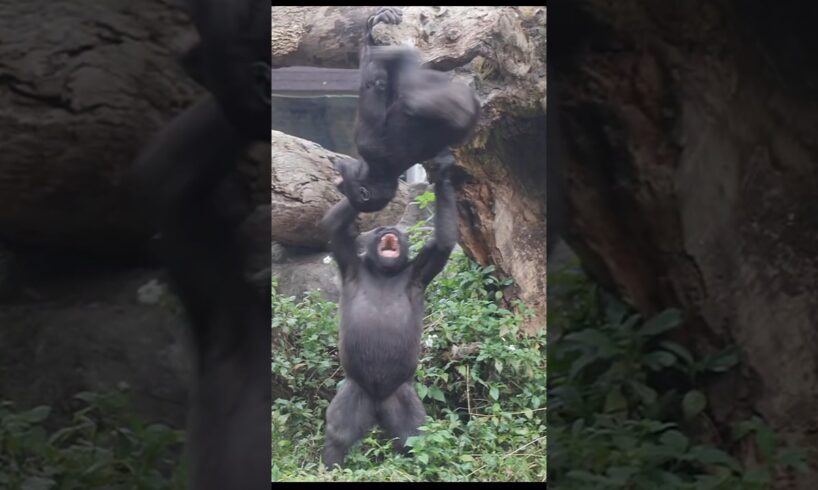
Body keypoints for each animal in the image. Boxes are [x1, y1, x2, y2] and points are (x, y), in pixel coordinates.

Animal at [320, 159, 460, 468]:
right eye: (379, 229)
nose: (388, 229)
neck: (385, 272)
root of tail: (377, 402)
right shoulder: (350, 262)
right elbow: (333, 226)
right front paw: (356, 187)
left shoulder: (419, 272)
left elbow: (443, 242)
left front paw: (444, 175)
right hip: (354, 392)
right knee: (338, 433)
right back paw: (330, 467)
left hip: (401, 397)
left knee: (414, 437)